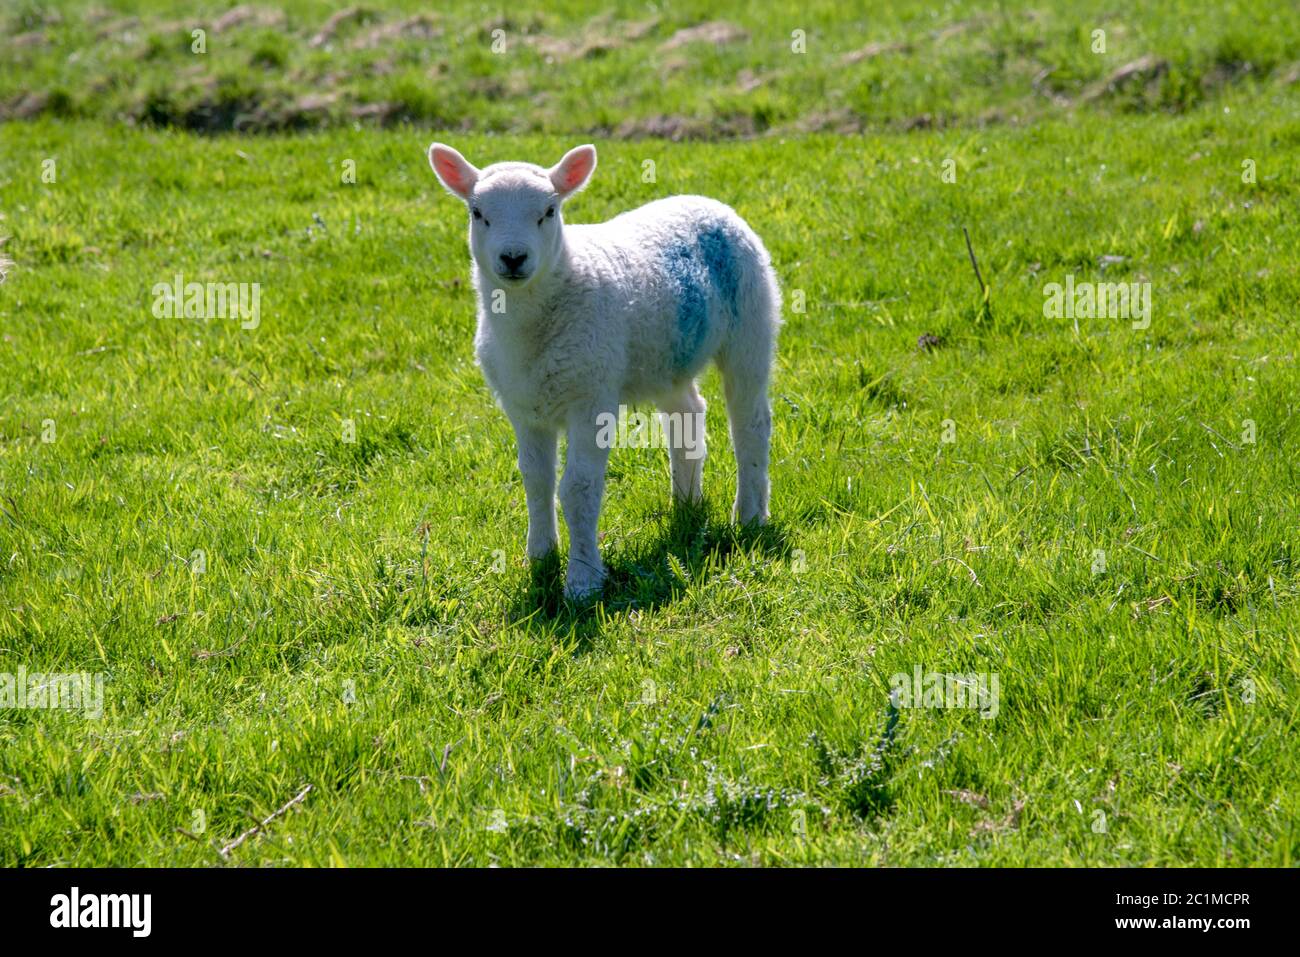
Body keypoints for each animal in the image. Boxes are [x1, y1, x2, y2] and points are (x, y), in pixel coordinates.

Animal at [428, 141, 780, 598]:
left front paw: (582, 581)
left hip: (751, 321)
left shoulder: (591, 396)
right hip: (666, 353)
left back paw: (750, 516)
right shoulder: (523, 406)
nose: (513, 257)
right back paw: (687, 506)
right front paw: (539, 558)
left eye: (549, 211)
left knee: (751, 422)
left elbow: (577, 487)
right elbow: (536, 480)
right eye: (477, 213)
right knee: (687, 411)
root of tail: (708, 203)